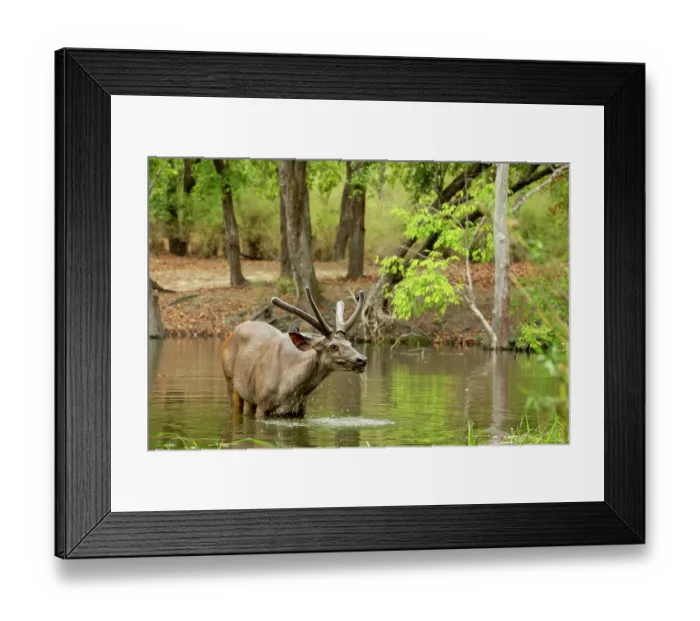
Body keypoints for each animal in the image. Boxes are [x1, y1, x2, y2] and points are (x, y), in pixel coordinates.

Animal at [221, 287, 367, 418]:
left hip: (250, 395)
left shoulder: (301, 408)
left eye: (350, 343)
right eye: (333, 346)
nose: (362, 359)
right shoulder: (263, 403)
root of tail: (230, 333)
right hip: (230, 382)